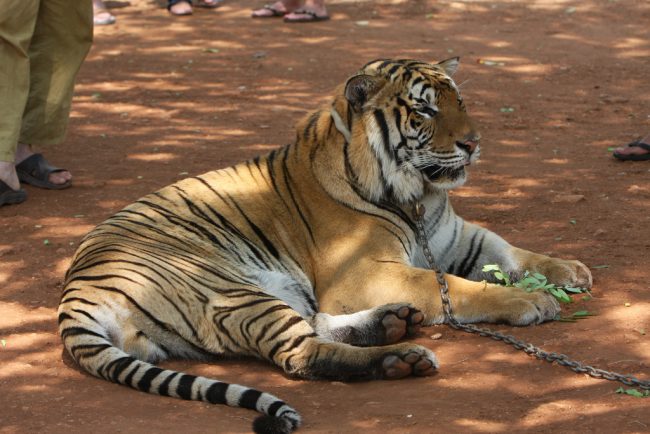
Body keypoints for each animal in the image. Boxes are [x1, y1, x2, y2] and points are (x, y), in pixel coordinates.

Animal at [58, 57, 592, 433]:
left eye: (458, 101)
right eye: (424, 108)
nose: (474, 144)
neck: (417, 194)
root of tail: (75, 291)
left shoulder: (456, 238)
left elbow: (510, 253)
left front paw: (569, 270)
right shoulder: (366, 271)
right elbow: (459, 288)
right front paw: (530, 301)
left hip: (268, 290)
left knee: (312, 326)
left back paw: (395, 322)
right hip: (226, 288)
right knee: (299, 355)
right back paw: (400, 355)